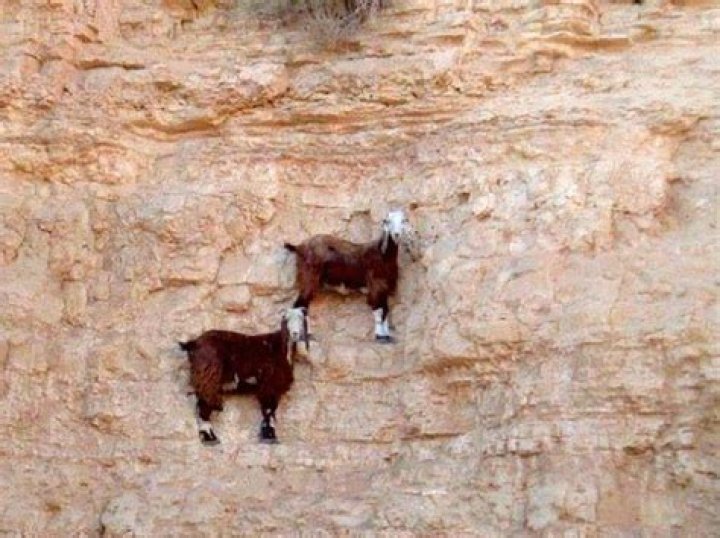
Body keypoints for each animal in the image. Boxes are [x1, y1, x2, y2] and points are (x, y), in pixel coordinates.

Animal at [178, 307, 308, 445]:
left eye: (301, 319)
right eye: (286, 319)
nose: (295, 333)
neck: (278, 347)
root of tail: (193, 343)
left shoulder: (273, 388)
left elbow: (271, 412)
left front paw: (269, 436)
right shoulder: (269, 385)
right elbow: (268, 411)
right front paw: (269, 437)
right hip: (208, 380)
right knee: (203, 408)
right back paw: (211, 439)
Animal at [284, 209, 417, 343]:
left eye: (403, 221)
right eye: (388, 221)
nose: (396, 234)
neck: (383, 255)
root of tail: (299, 247)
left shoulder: (384, 287)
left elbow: (385, 310)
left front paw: (387, 336)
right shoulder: (375, 284)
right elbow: (379, 310)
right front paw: (380, 336)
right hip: (309, 278)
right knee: (300, 305)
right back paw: (305, 335)